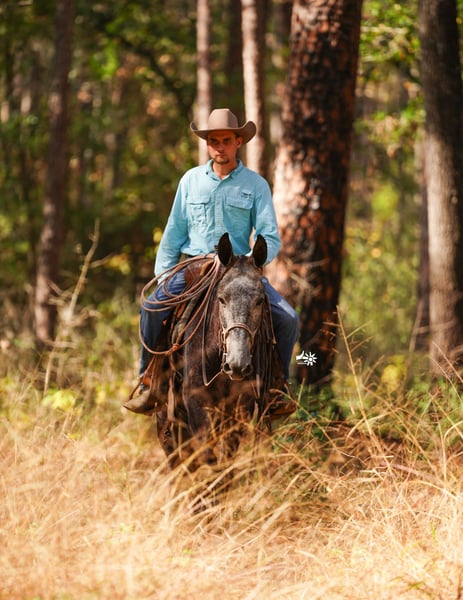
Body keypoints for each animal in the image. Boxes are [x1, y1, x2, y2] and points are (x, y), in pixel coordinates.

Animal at [146, 233, 282, 474]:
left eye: (259, 301)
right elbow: (207, 459)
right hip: (165, 416)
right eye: (221, 299)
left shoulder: (239, 408)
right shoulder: (196, 405)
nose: (237, 365)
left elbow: (224, 463)